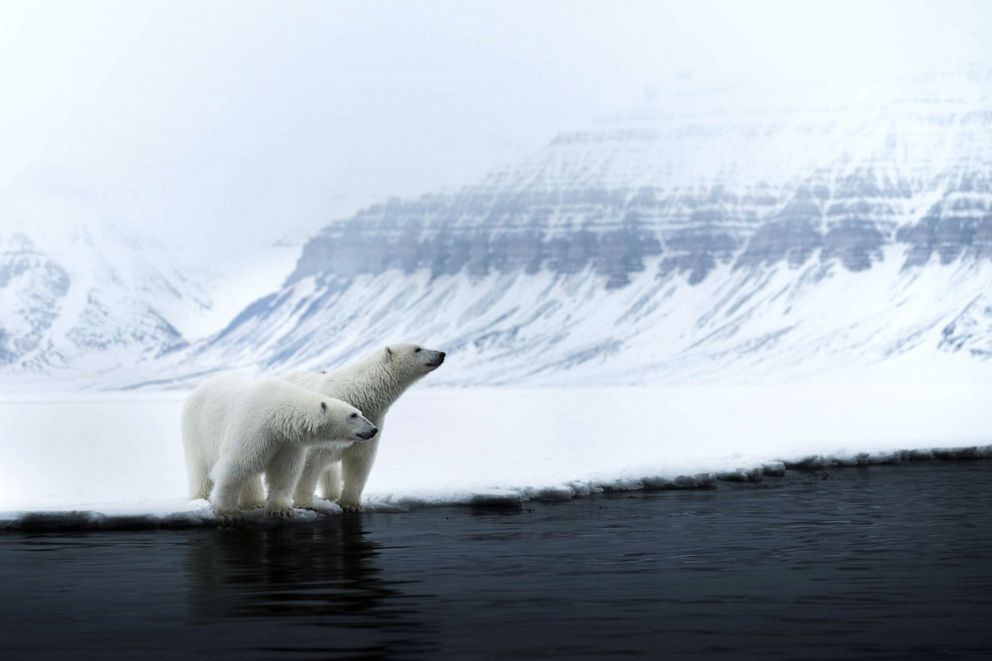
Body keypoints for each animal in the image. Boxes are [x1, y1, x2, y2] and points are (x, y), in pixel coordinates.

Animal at [180, 372, 378, 520]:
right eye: (353, 415)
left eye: (360, 412)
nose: (373, 429)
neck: (277, 415)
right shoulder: (253, 429)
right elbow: (235, 467)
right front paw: (228, 513)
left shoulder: (287, 443)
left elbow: (284, 472)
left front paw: (280, 510)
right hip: (197, 429)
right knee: (201, 465)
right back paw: (201, 497)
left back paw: (254, 502)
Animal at [282, 342, 446, 508]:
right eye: (417, 349)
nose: (441, 354)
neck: (358, 393)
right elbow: (309, 462)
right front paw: (303, 503)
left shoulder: (370, 424)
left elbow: (359, 461)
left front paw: (349, 503)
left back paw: (332, 494)